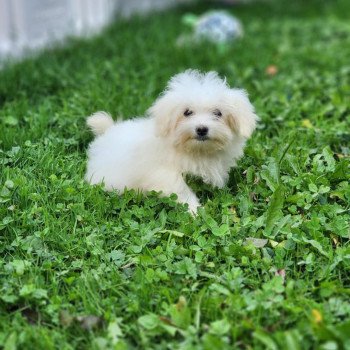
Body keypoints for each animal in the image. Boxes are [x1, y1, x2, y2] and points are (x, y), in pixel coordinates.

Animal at [86, 68, 258, 211]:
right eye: (187, 112)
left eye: (218, 113)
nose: (201, 129)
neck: (196, 151)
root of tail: (108, 131)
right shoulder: (163, 173)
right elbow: (180, 189)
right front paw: (195, 210)